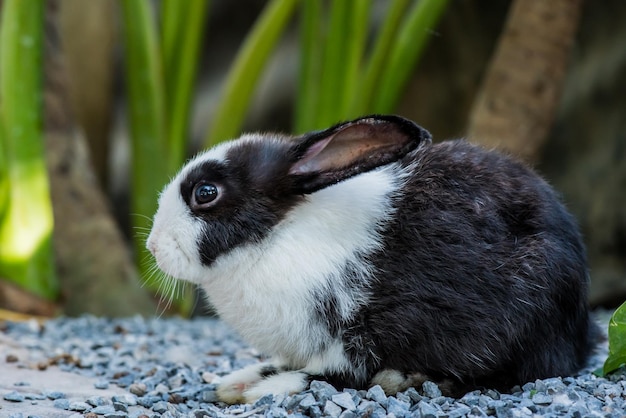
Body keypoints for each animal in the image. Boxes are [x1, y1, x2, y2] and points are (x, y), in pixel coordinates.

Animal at [145, 114, 596, 404]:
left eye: (205, 193)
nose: (152, 246)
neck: (276, 233)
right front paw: (239, 380)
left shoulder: (358, 335)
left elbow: (333, 374)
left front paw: (264, 388)